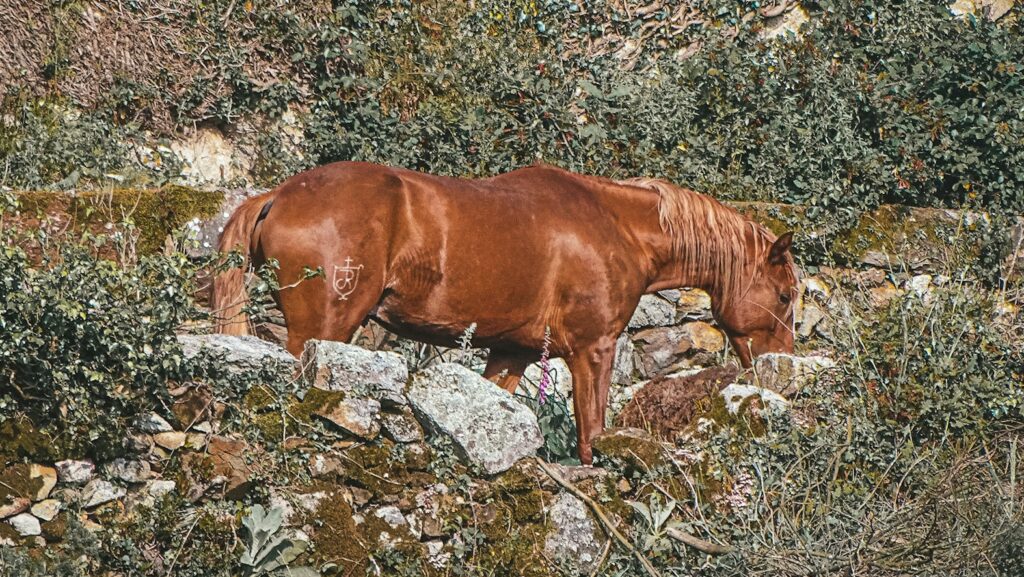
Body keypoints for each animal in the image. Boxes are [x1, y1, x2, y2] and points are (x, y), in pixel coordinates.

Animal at [212, 161, 798, 464]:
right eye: (786, 296)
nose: (781, 372)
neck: (614, 225)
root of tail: (279, 195)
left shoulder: (510, 354)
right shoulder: (594, 350)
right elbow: (591, 434)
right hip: (325, 329)